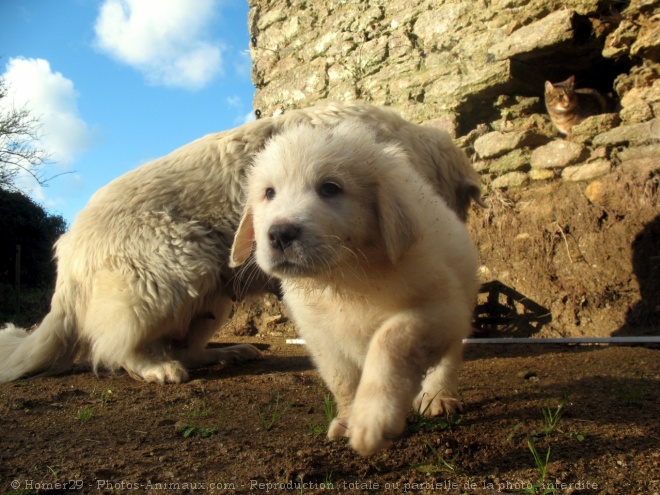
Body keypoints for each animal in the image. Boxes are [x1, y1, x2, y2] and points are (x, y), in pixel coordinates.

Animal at [232, 122, 480, 456]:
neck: (343, 276)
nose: (280, 234)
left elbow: (389, 339)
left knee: (447, 360)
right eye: (269, 193)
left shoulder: (441, 310)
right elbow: (342, 379)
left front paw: (372, 418)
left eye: (330, 188)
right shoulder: (320, 336)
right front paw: (349, 418)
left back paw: (438, 397)